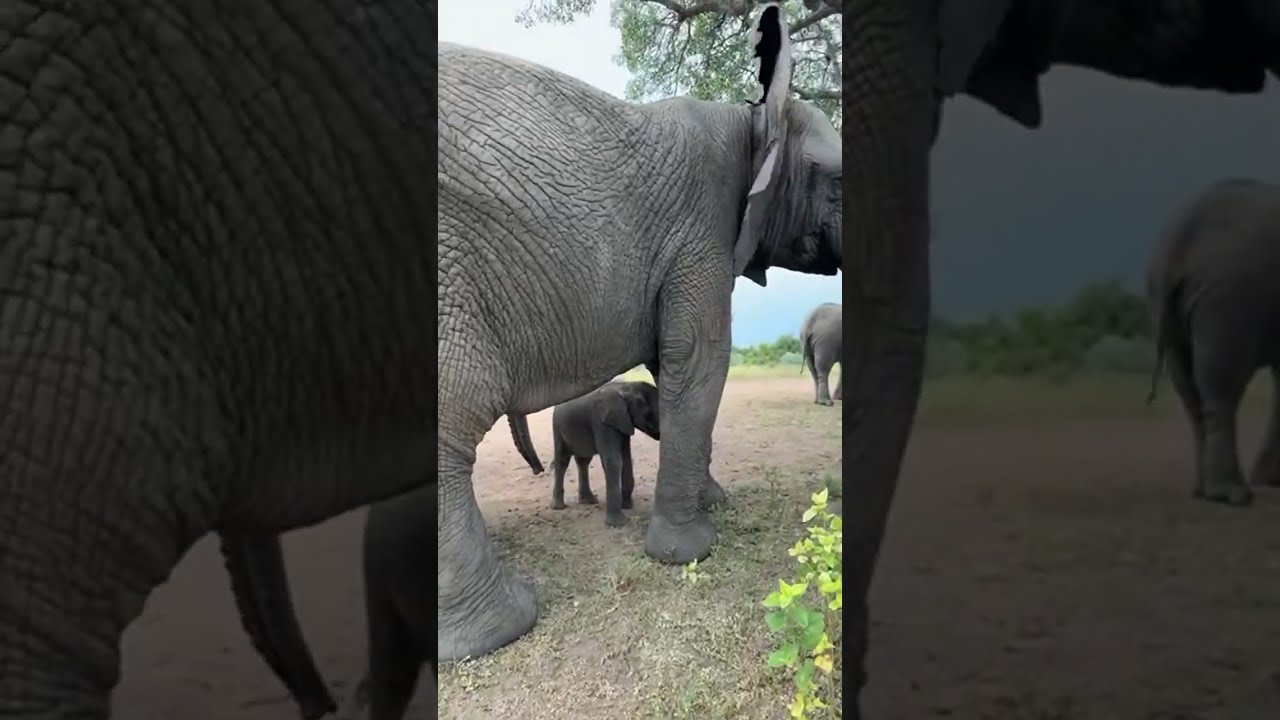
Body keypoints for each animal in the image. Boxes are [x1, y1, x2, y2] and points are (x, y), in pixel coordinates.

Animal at [548, 380, 662, 526]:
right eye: (650, 416)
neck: (627, 387)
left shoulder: (623, 422)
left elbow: (626, 459)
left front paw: (627, 506)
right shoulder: (602, 422)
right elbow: (614, 461)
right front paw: (618, 523)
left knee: (583, 461)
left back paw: (589, 501)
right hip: (557, 426)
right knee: (562, 460)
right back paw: (559, 507)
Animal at [1146, 178, 1280, 507]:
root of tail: (1177, 245)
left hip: (1164, 302)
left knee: (1189, 389)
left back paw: (1203, 493)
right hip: (1226, 297)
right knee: (1221, 388)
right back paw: (1232, 495)